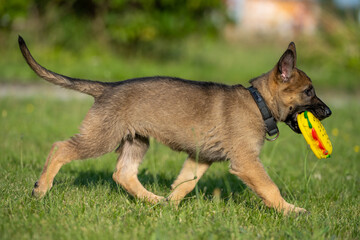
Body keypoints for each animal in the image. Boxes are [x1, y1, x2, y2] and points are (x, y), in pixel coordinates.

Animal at [18, 36, 330, 215]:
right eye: (308, 92)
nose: (327, 112)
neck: (259, 102)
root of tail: (108, 87)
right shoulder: (246, 162)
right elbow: (270, 188)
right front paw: (292, 211)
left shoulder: (200, 158)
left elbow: (185, 184)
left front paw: (171, 207)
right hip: (102, 138)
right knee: (60, 148)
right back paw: (41, 188)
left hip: (136, 140)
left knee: (123, 174)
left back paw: (154, 201)